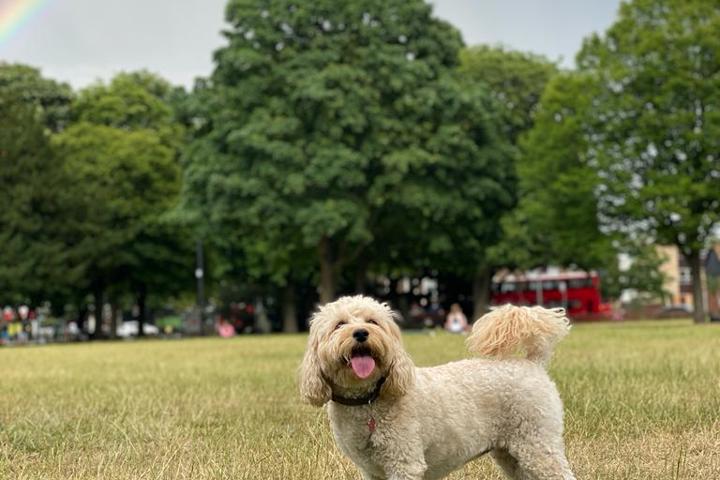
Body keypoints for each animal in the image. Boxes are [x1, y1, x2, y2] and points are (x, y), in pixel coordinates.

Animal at [298, 294, 572, 478]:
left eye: (373, 321)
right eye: (339, 325)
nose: (361, 333)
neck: (369, 400)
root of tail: (532, 364)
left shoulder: (404, 462)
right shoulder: (371, 471)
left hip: (537, 444)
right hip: (512, 453)